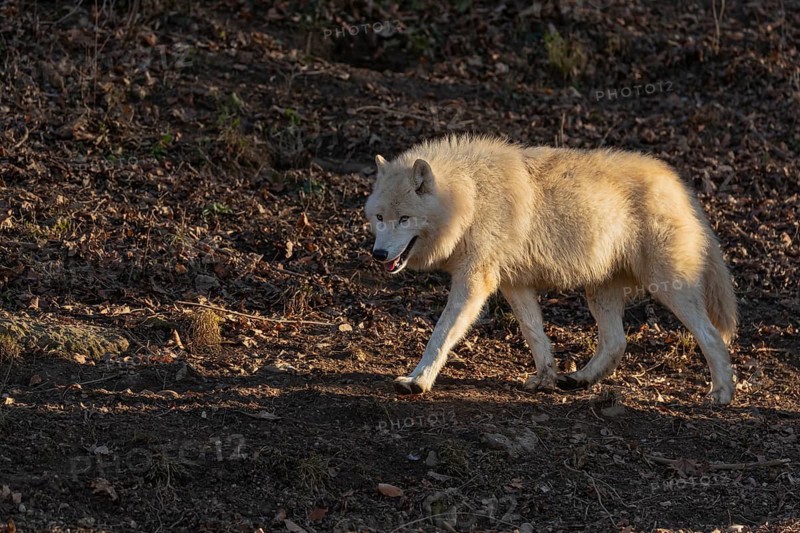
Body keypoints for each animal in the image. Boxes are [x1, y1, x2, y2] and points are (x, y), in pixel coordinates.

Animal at [365, 135, 738, 404]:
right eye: (379, 217)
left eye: (404, 219)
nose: (379, 254)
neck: (469, 196)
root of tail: (680, 186)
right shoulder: (513, 284)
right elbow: (535, 334)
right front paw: (546, 378)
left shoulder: (474, 282)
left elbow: (440, 336)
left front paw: (417, 380)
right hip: (598, 292)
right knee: (616, 343)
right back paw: (579, 379)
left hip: (668, 288)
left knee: (712, 337)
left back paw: (721, 394)